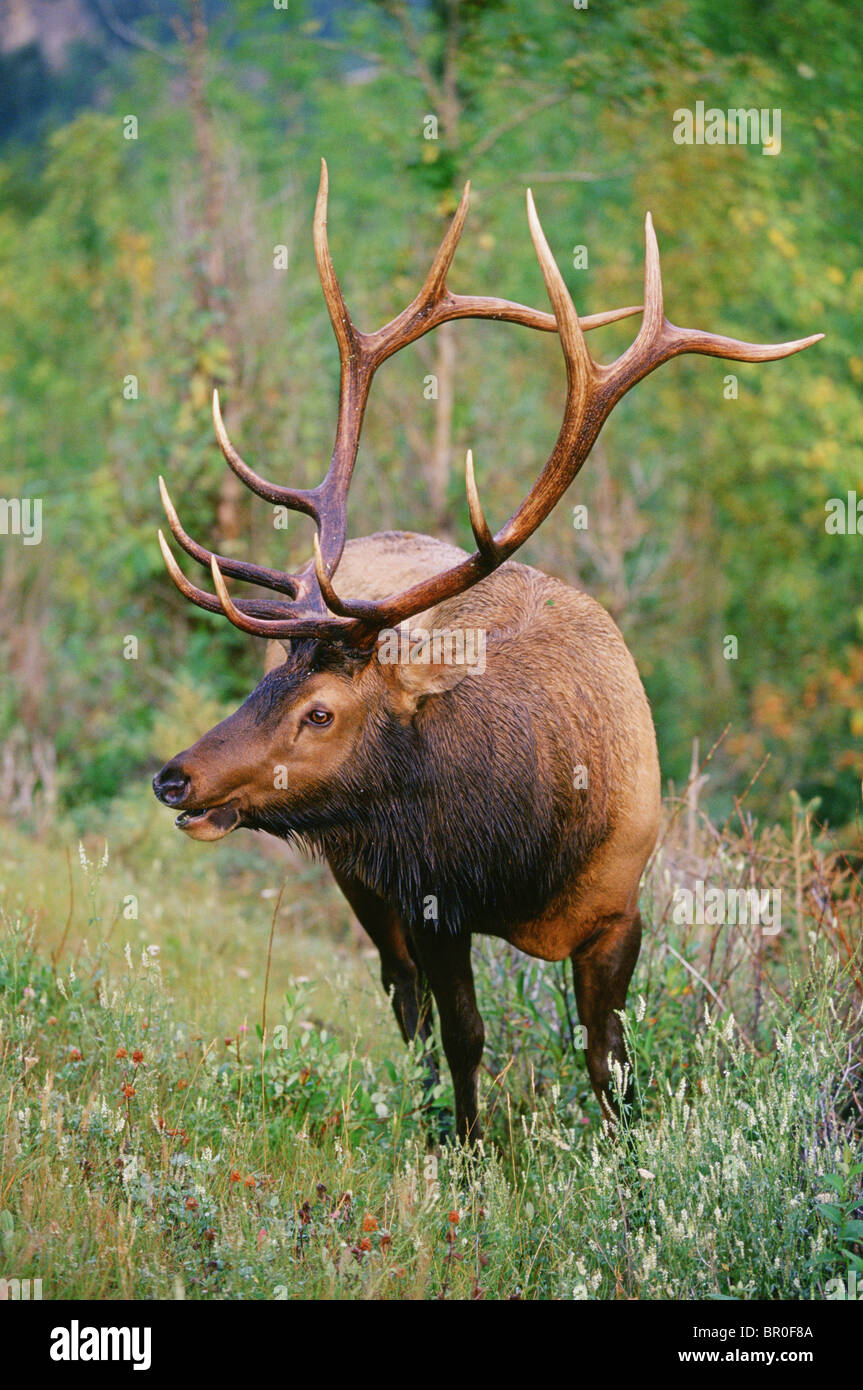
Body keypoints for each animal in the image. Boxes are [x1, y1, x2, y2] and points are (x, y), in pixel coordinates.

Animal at [152, 161, 821, 1142]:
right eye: (263, 685)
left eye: (320, 712)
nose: (174, 778)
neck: (524, 846)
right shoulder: (429, 897)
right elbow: (464, 1033)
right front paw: (468, 1150)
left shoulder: (622, 902)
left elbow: (608, 1060)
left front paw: (620, 1154)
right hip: (361, 876)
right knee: (404, 1003)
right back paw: (422, 1100)